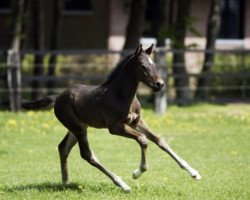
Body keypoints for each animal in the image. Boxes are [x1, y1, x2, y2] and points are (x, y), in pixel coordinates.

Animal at [22, 45, 201, 192]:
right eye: (142, 66)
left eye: (154, 64)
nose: (159, 84)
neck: (121, 95)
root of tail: (57, 97)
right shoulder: (115, 127)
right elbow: (143, 140)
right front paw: (137, 173)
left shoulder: (137, 122)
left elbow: (159, 140)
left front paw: (194, 172)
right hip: (77, 128)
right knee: (87, 154)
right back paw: (122, 184)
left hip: (78, 127)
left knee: (63, 148)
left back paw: (65, 182)